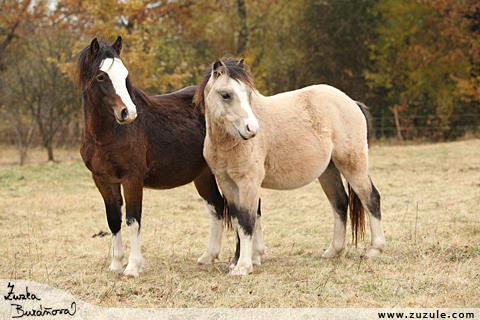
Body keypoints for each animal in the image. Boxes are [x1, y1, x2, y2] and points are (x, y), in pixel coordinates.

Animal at [78, 37, 227, 278]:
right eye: (101, 76)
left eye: (125, 74)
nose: (127, 112)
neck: (107, 134)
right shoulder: (103, 181)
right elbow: (113, 221)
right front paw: (115, 265)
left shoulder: (132, 179)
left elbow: (133, 221)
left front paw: (132, 267)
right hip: (203, 176)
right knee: (217, 208)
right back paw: (208, 256)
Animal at [195, 58, 386, 276]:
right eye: (226, 94)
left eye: (249, 93)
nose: (252, 129)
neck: (229, 142)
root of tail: (352, 103)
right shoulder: (227, 183)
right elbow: (236, 221)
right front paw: (236, 263)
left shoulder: (249, 183)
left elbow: (246, 221)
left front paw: (243, 267)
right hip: (328, 171)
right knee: (340, 203)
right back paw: (333, 251)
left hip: (352, 165)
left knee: (370, 198)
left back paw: (374, 250)